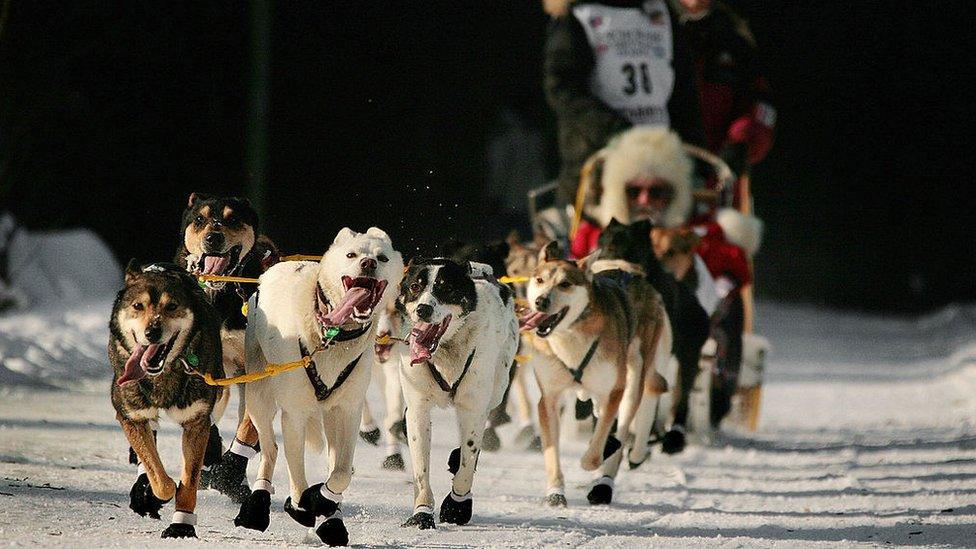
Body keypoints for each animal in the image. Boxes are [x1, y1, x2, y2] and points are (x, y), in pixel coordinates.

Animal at [110, 260, 223, 536]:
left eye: (171, 306)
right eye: (138, 306)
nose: (153, 331)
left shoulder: (196, 422)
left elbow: (189, 480)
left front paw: (181, 525)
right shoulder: (131, 417)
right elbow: (159, 477)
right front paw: (154, 493)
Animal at [234, 226, 402, 544]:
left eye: (382, 257)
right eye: (351, 254)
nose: (368, 264)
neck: (333, 335)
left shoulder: (348, 411)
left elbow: (342, 471)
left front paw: (324, 499)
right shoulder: (294, 414)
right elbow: (296, 471)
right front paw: (301, 504)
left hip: (330, 415)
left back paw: (332, 518)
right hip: (259, 397)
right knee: (271, 449)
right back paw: (259, 505)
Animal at [394, 260, 524, 528]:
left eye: (445, 287)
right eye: (415, 287)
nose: (423, 309)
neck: (446, 350)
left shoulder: (472, 408)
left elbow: (468, 459)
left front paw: (457, 505)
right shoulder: (419, 409)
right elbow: (421, 468)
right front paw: (422, 513)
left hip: (496, 388)